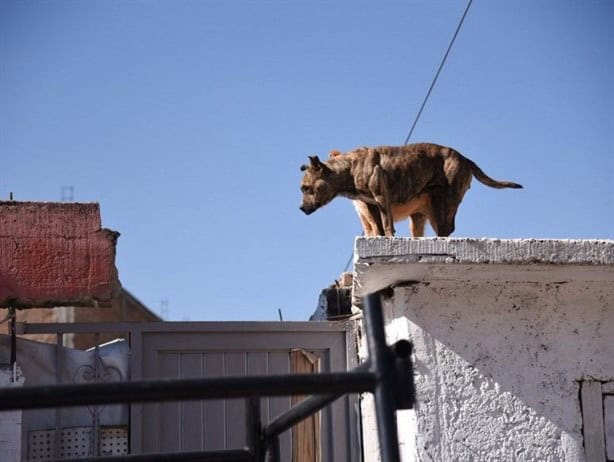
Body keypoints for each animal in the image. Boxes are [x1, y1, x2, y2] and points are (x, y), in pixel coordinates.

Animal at [300, 143, 524, 236]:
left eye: (305, 188)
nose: (301, 208)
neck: (349, 169)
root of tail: (464, 157)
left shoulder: (382, 199)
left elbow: (387, 226)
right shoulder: (371, 208)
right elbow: (379, 230)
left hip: (445, 202)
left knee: (446, 228)